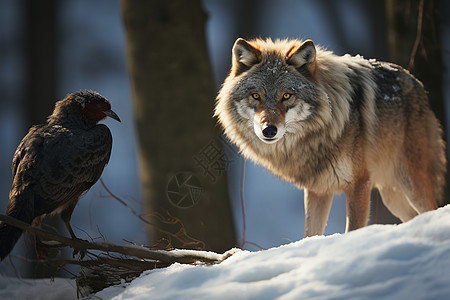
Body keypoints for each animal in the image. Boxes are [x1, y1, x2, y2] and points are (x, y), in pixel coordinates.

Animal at [215, 37, 446, 237]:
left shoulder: (359, 184)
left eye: (287, 96)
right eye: (256, 96)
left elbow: (353, 229)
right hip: (391, 195)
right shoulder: (317, 190)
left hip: (410, 183)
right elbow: (309, 234)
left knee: (432, 208)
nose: (269, 130)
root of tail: (417, 84)